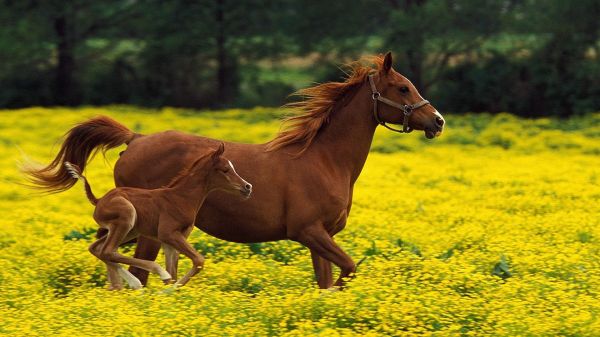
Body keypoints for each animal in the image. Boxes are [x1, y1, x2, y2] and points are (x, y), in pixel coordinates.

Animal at [61, 142, 248, 288]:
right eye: (225, 170)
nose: (247, 187)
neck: (181, 198)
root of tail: (99, 200)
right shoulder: (167, 234)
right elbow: (198, 261)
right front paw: (165, 289)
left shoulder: (172, 240)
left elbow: (175, 272)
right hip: (126, 218)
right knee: (107, 251)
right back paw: (143, 279)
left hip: (130, 230)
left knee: (98, 249)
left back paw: (124, 285)